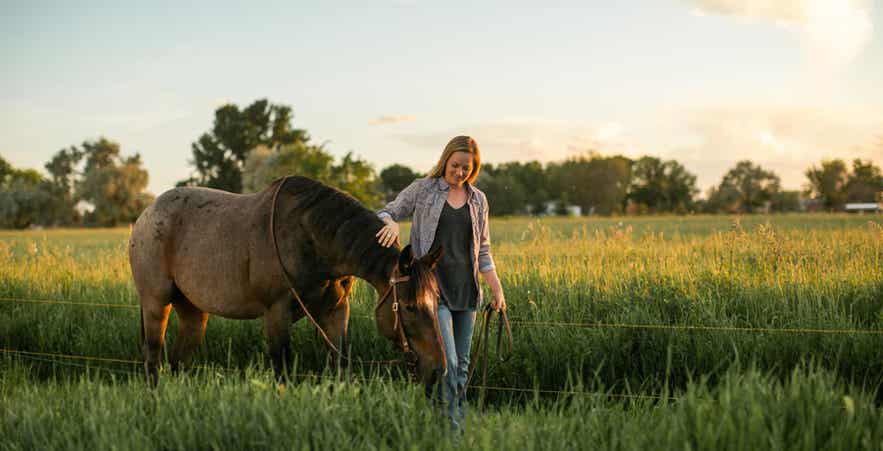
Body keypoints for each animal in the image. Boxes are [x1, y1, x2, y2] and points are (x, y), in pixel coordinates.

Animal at [128, 176, 447, 387]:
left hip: (192, 311)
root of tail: (145, 215)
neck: (311, 237)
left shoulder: (335, 312)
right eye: (408, 306)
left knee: (178, 360)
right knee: (153, 358)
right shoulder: (276, 313)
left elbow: (340, 361)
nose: (438, 370)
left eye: (437, 300)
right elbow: (282, 368)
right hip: (156, 305)